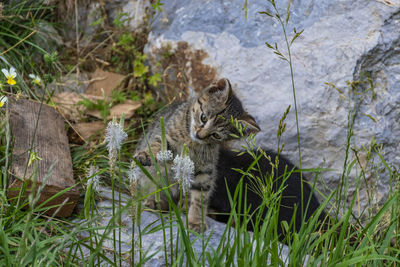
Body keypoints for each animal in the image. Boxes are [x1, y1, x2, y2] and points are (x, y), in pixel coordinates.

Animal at [134, 78, 260, 232]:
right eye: (203, 117)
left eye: (216, 135)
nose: (200, 135)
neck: (192, 142)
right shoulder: (167, 138)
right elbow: (159, 146)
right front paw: (146, 154)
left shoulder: (205, 170)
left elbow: (200, 197)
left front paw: (195, 220)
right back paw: (154, 202)